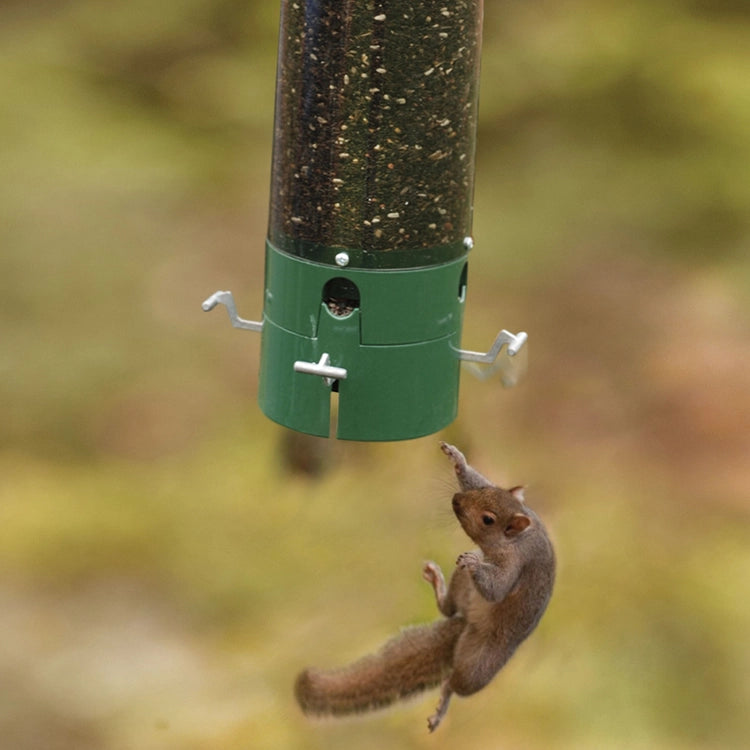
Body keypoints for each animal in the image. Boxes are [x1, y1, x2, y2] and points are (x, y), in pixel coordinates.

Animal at [294, 442, 556, 732]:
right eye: (486, 489)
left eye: (488, 519)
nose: (456, 499)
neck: (518, 538)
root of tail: (468, 623)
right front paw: (458, 461)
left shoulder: (517, 563)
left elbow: (497, 589)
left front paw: (474, 561)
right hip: (463, 587)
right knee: (448, 609)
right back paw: (439, 587)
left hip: (478, 665)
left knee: (455, 683)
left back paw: (442, 706)